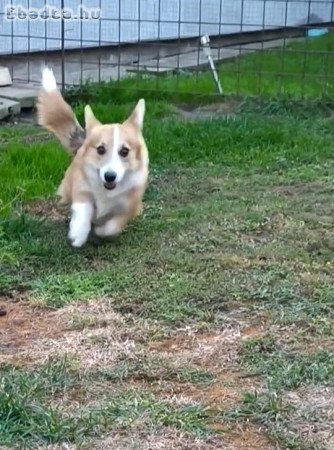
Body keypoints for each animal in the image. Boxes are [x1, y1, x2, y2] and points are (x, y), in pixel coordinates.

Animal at [36, 67, 149, 246]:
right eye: (100, 149)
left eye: (124, 151)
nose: (110, 176)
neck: (106, 191)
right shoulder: (82, 189)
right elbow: (84, 208)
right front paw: (78, 233)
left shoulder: (128, 206)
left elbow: (111, 226)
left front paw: (100, 230)